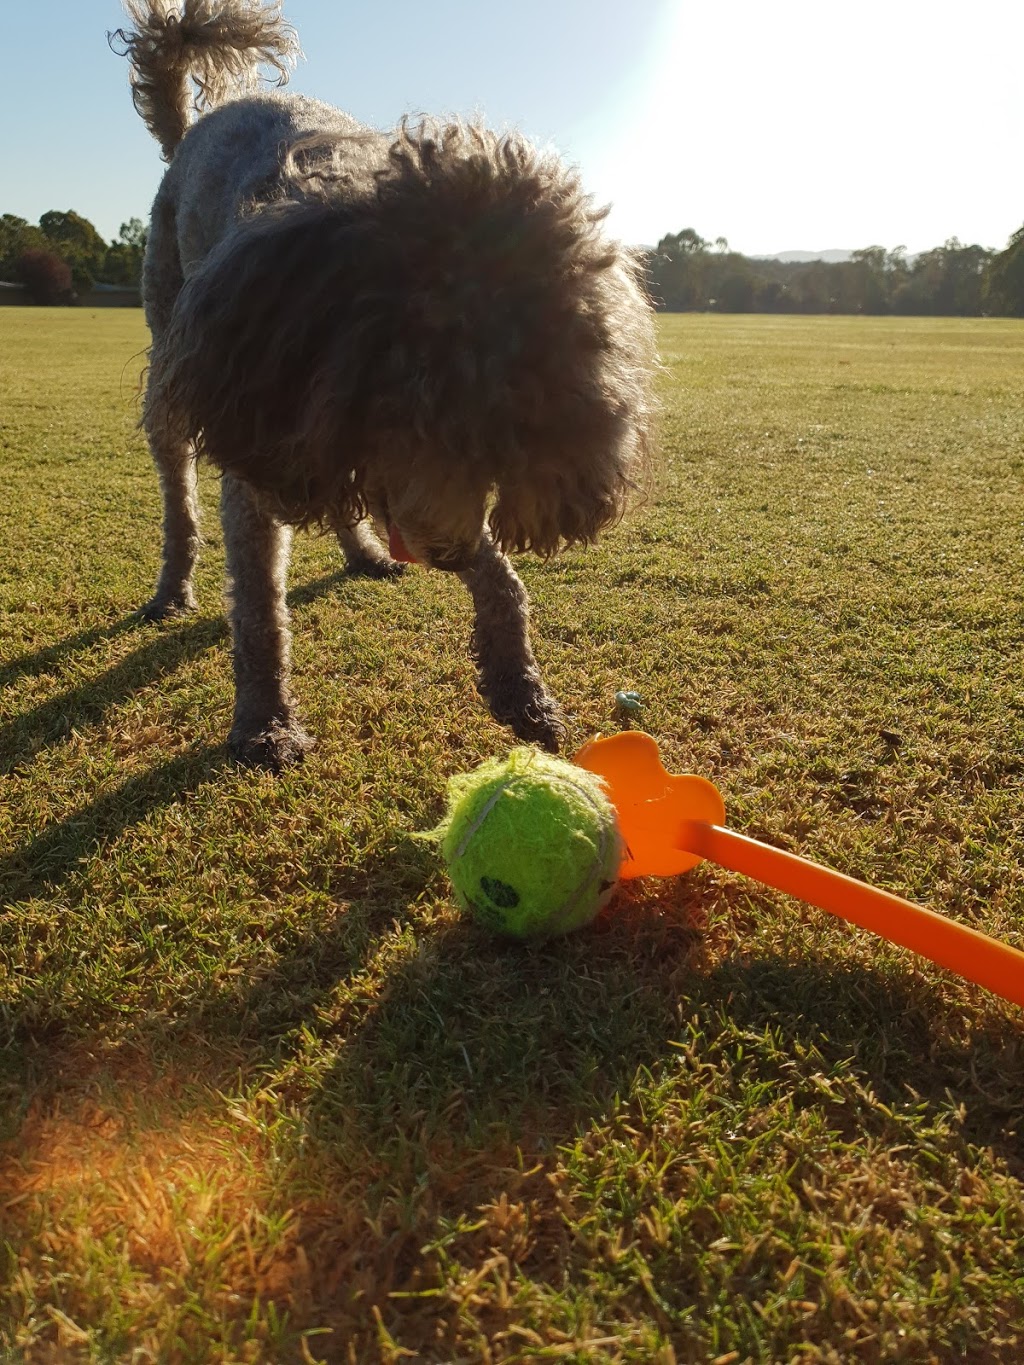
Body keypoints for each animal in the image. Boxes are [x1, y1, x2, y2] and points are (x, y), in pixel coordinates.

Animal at [114, 0, 658, 769]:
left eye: (521, 424)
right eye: (412, 394)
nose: (445, 552)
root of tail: (192, 126)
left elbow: (500, 578)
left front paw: (519, 685)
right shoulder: (266, 442)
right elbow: (258, 609)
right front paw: (265, 722)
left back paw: (365, 552)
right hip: (170, 371)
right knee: (179, 501)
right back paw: (173, 586)